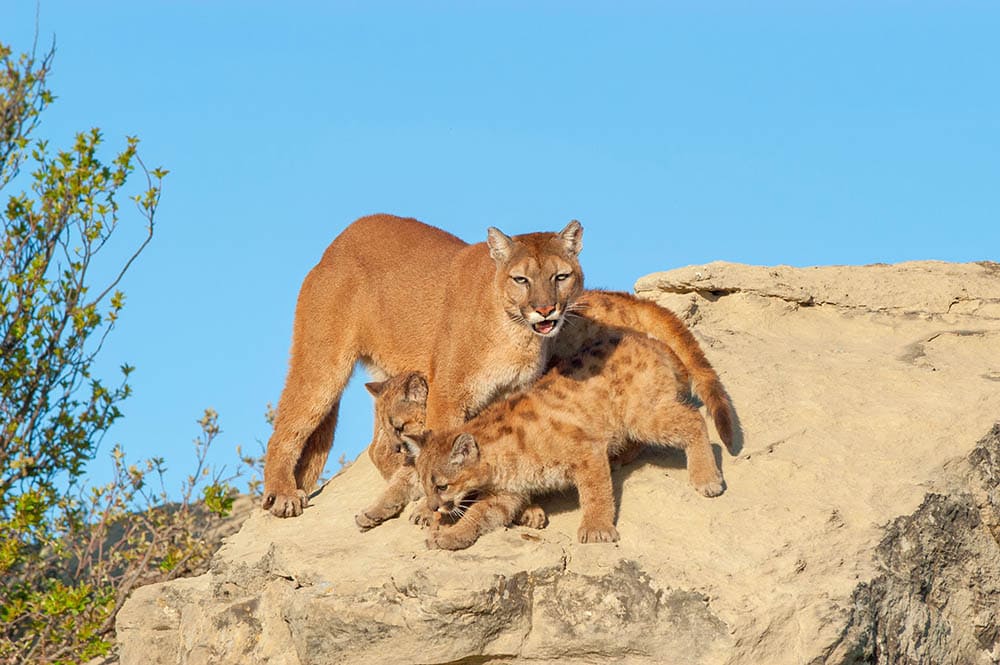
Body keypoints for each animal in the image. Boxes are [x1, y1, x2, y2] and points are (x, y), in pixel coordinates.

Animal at [264, 215, 736, 516]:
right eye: (521, 279)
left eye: (560, 276)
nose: (545, 309)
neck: (515, 335)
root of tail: (338, 241)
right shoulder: (447, 394)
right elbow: (441, 451)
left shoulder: (511, 394)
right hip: (322, 362)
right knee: (288, 425)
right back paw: (283, 495)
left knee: (377, 444)